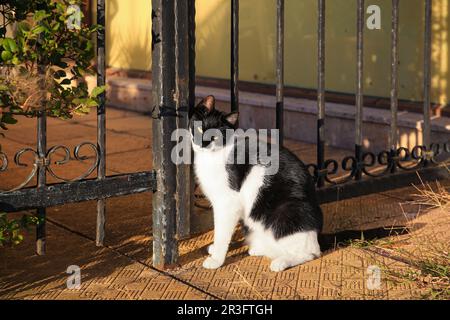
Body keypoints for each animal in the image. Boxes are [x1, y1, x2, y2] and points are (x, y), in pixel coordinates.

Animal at [190, 95, 324, 272]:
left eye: (214, 137)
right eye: (199, 129)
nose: (202, 144)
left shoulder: (228, 203)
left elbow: (222, 232)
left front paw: (216, 259)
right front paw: (214, 249)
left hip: (286, 211)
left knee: (311, 253)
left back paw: (281, 262)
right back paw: (259, 249)